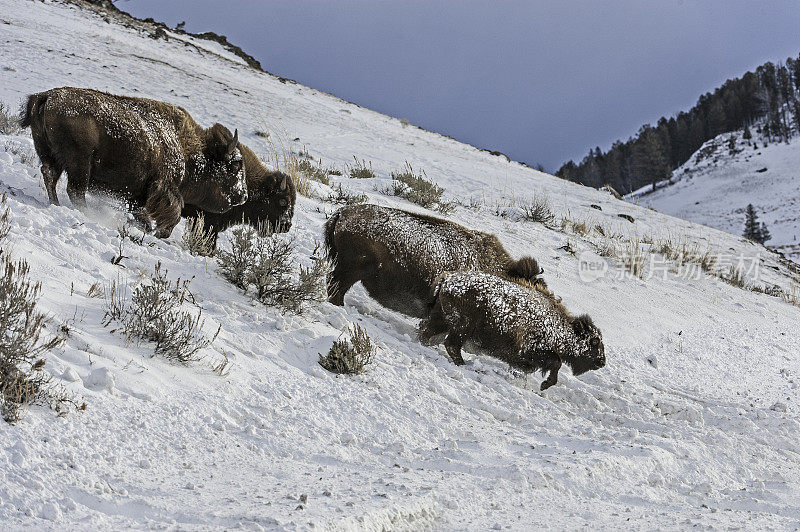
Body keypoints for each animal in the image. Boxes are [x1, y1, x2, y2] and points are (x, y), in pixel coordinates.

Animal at [21, 87, 247, 237]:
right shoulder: (164, 187)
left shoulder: (140, 193)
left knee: (50, 176)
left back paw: (55, 203)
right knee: (75, 190)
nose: (243, 196)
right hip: (80, 164)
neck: (187, 147)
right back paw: (86, 212)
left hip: (51, 156)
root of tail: (47, 96)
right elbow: (173, 213)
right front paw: (156, 229)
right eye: (235, 165)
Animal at [422, 272, 604, 388]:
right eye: (594, 341)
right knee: (451, 344)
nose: (602, 362)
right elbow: (556, 363)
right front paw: (545, 385)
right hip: (462, 327)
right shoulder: (533, 351)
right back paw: (462, 364)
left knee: (427, 331)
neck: (560, 326)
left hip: (442, 320)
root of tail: (448, 278)